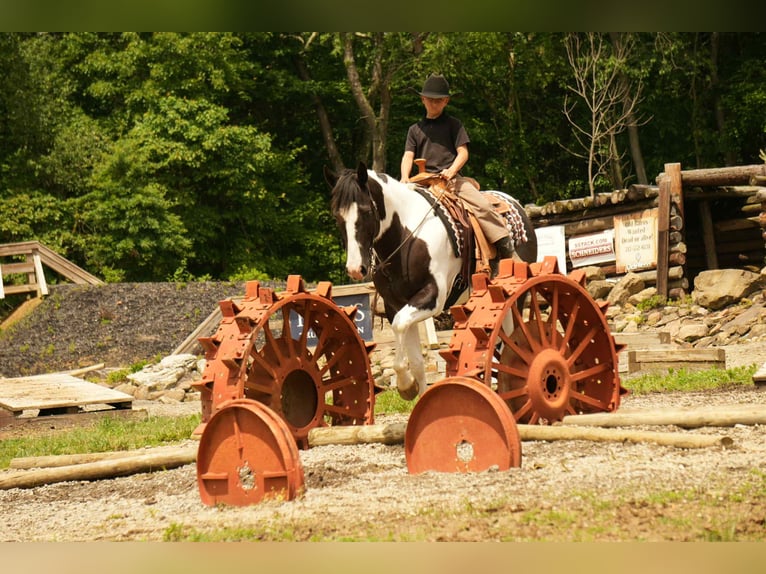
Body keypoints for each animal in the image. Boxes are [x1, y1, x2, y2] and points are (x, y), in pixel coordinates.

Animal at [326, 162, 538, 400]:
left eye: (366, 211)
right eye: (337, 216)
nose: (355, 268)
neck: (406, 236)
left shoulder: (432, 298)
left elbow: (400, 325)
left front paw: (406, 386)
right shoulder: (395, 305)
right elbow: (414, 356)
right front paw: (415, 392)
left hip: (517, 296)